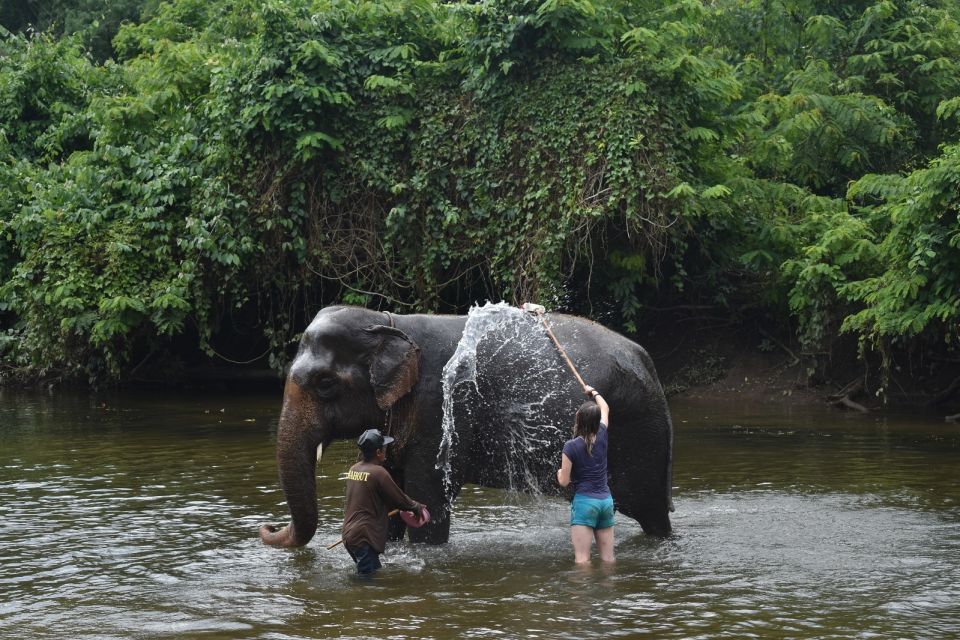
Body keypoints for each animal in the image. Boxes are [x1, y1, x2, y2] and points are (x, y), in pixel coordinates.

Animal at [258, 302, 672, 548]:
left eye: (325, 384)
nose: (267, 527)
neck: (389, 323)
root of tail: (647, 360)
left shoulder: (439, 409)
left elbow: (427, 503)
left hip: (643, 435)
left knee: (653, 513)